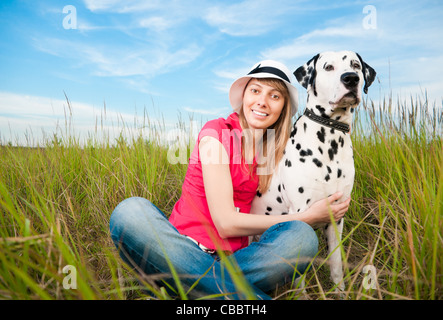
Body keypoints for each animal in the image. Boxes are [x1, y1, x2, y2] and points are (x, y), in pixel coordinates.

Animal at [251, 51, 376, 294]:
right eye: (328, 67)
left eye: (356, 65)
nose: (351, 78)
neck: (330, 137)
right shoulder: (300, 213)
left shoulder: (337, 217)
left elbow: (336, 265)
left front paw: (340, 292)